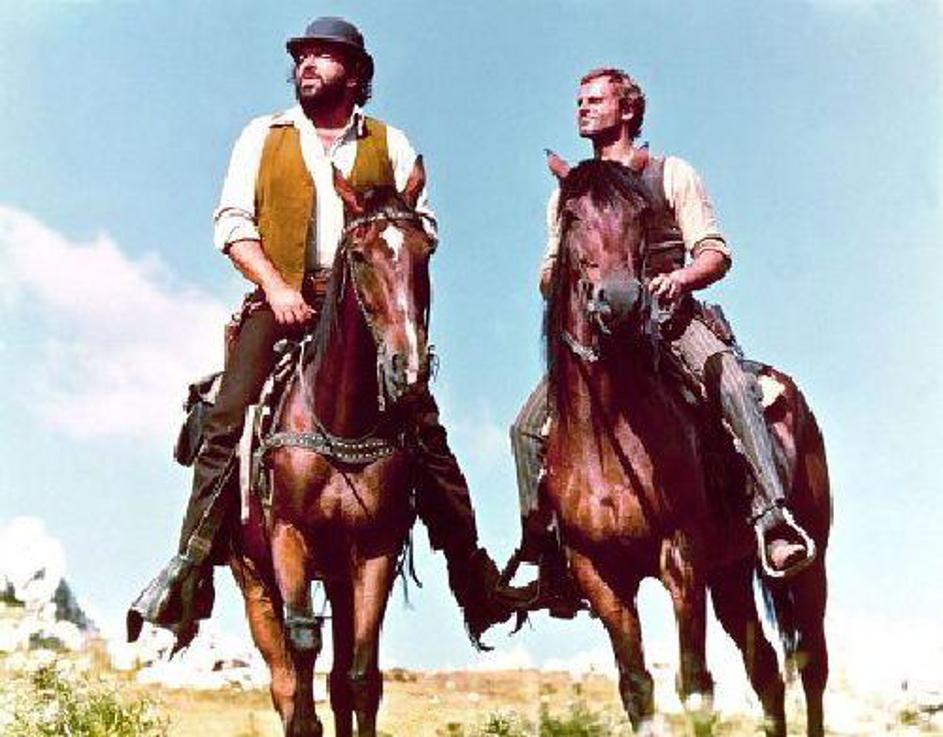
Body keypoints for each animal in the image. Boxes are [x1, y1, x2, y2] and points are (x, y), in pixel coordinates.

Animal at [228, 160, 434, 737]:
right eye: (360, 254)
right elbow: (301, 652)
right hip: (254, 578)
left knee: (340, 676)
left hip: (339, 576)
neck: (343, 427)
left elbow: (361, 672)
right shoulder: (288, 540)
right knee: (283, 675)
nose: (408, 371)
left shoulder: (374, 550)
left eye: (427, 249)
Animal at [541, 155, 831, 737]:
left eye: (639, 214)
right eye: (573, 215)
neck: (607, 435)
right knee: (767, 671)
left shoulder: (683, 558)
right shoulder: (599, 573)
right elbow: (637, 688)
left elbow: (695, 686)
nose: (622, 301)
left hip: (812, 560)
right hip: (732, 574)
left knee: (811, 667)